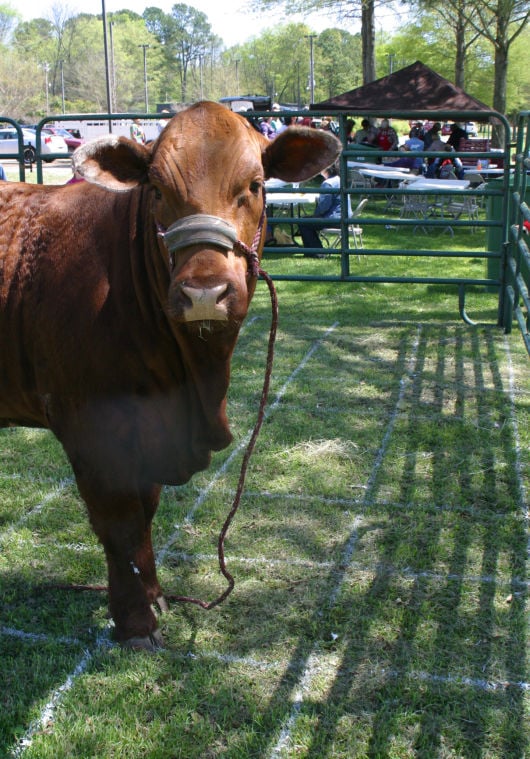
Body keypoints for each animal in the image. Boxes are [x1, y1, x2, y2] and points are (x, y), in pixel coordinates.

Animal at [1, 99, 338, 648]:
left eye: (255, 185)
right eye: (156, 189)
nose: (204, 292)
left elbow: (147, 513)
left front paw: (156, 594)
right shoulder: (90, 426)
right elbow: (120, 523)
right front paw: (135, 623)